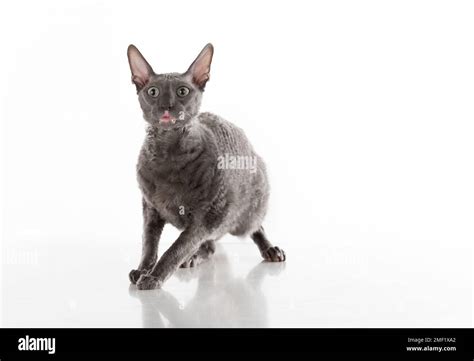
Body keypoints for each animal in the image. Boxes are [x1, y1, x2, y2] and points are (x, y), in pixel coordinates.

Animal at [126, 43, 286, 290]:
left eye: (182, 91)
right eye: (153, 92)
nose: (166, 106)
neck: (167, 153)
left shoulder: (207, 215)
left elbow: (175, 249)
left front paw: (153, 277)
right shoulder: (150, 209)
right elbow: (149, 244)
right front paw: (143, 269)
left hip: (245, 213)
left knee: (254, 226)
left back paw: (270, 249)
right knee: (209, 246)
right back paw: (194, 258)